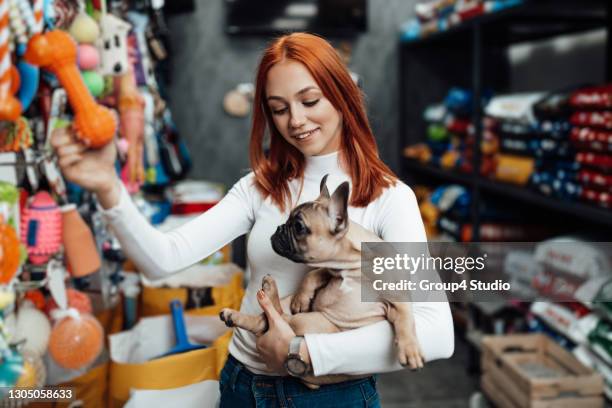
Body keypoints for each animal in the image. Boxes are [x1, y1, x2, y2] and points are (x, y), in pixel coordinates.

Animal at [220, 174, 426, 384]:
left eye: (298, 227)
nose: (279, 228)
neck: (355, 264)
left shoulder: (397, 298)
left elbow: (405, 321)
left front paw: (410, 350)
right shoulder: (331, 269)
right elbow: (313, 274)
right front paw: (302, 298)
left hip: (312, 322)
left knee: (277, 319)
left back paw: (267, 293)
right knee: (266, 319)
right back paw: (242, 309)